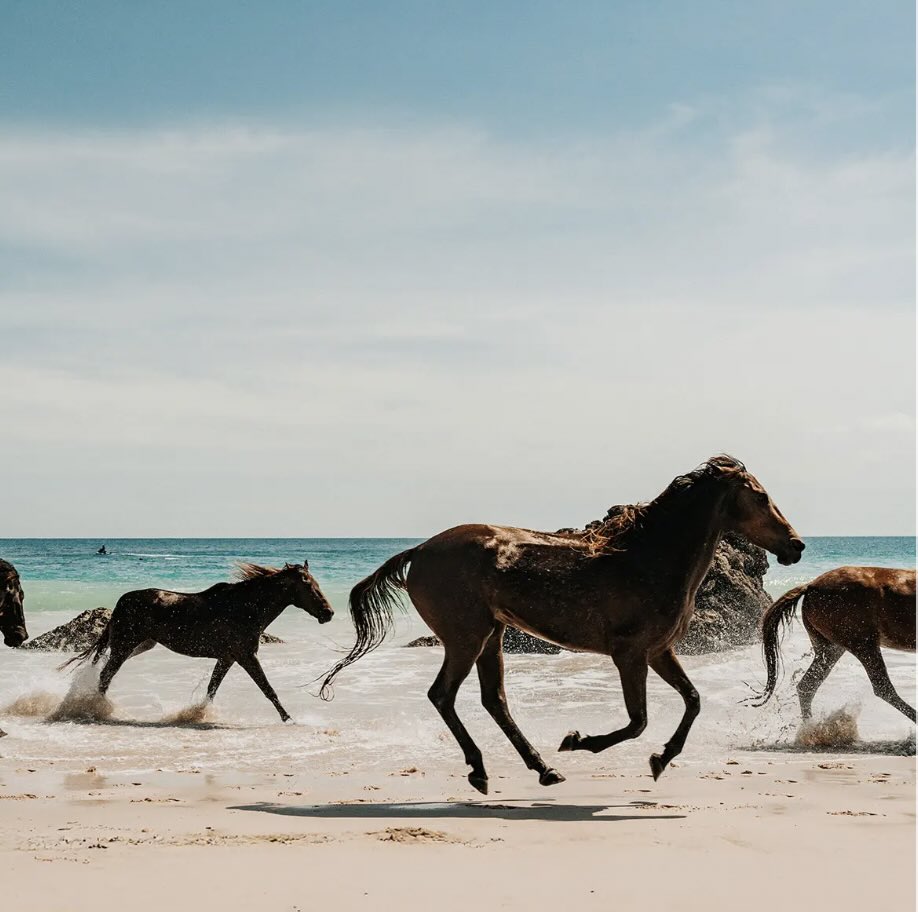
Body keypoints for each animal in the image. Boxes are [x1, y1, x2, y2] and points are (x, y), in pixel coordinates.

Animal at [62, 560, 334, 721]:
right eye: (308, 586)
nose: (328, 613)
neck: (245, 607)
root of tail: (121, 601)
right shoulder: (246, 656)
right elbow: (268, 689)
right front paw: (290, 719)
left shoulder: (227, 658)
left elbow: (212, 689)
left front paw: (197, 714)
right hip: (124, 646)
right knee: (105, 676)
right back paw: (98, 709)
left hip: (138, 645)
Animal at [320, 455, 803, 793]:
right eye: (761, 497)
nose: (796, 546)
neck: (650, 558)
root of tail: (418, 551)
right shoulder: (630, 655)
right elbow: (639, 721)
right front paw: (579, 741)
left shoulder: (659, 652)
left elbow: (693, 700)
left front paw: (660, 760)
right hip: (465, 637)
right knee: (443, 695)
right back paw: (482, 770)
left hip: (492, 636)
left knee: (494, 701)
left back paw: (543, 769)